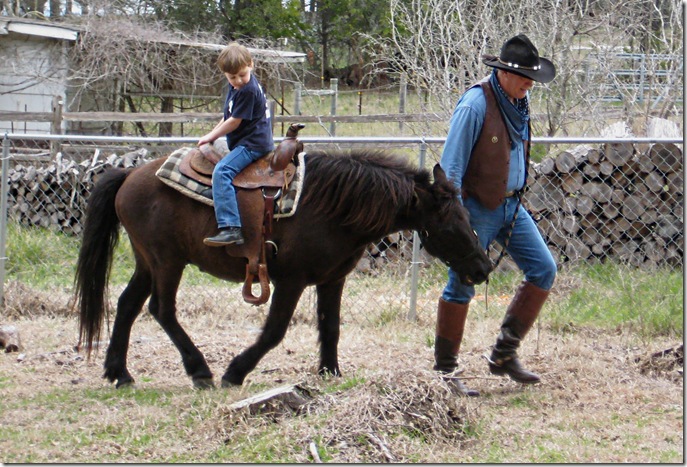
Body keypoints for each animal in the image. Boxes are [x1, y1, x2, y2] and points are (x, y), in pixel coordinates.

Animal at [74, 148, 492, 389]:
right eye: (450, 225)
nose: (483, 267)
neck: (336, 206)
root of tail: (128, 176)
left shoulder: (332, 280)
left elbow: (331, 326)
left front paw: (330, 372)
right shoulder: (290, 281)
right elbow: (274, 332)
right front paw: (235, 372)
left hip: (147, 261)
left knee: (127, 305)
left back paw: (119, 373)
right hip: (166, 261)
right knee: (161, 310)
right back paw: (200, 370)